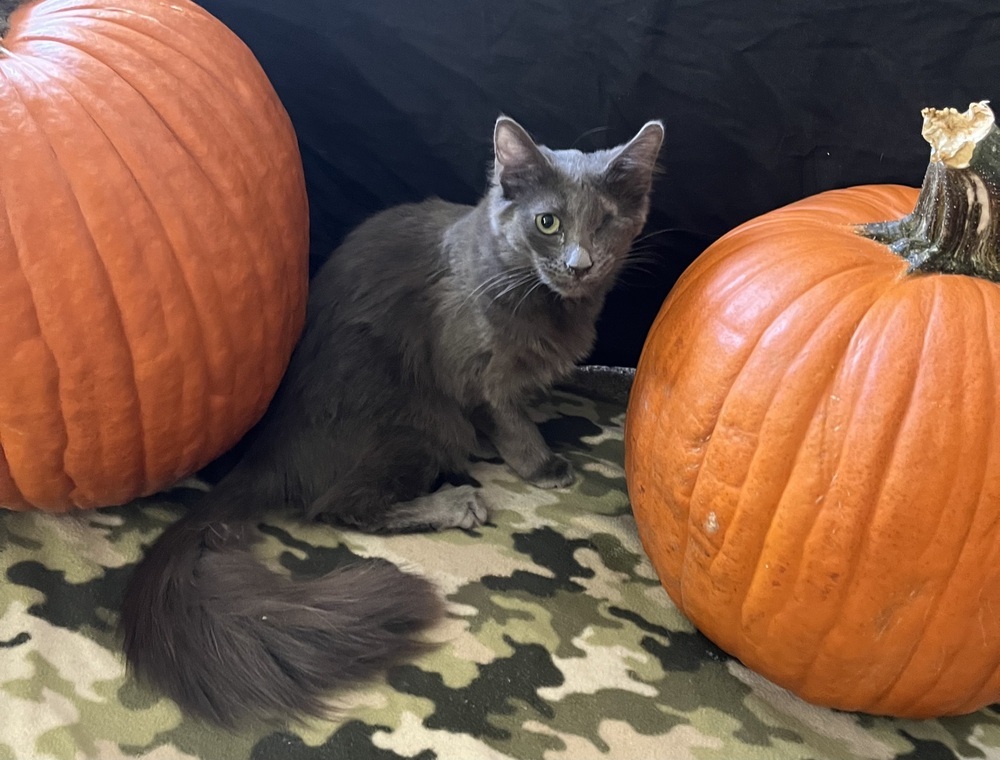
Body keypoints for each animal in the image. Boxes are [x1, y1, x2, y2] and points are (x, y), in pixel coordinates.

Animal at [119, 116, 664, 728]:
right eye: (548, 222)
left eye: (605, 224)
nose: (579, 264)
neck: (538, 294)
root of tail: (270, 452)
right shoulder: (471, 371)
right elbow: (508, 419)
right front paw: (542, 463)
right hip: (418, 425)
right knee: (339, 506)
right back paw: (456, 503)